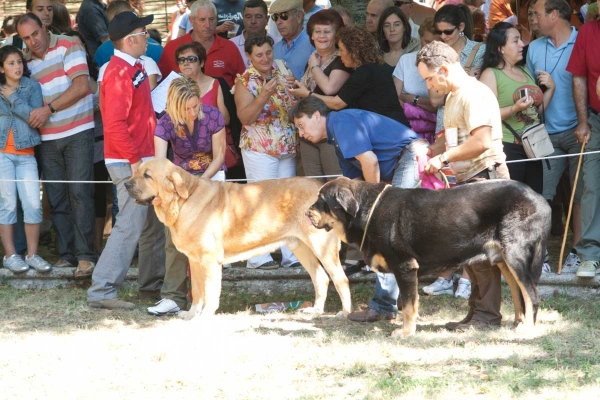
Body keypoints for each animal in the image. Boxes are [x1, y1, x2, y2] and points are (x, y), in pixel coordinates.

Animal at [126, 158, 352, 320]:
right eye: (137, 172)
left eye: (147, 175)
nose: (127, 184)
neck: (182, 201)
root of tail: (321, 190)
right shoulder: (195, 261)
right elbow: (197, 292)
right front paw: (191, 315)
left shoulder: (209, 260)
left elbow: (210, 292)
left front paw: (205, 316)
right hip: (301, 248)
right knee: (321, 278)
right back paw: (315, 311)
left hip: (322, 247)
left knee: (340, 279)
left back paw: (345, 313)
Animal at [310, 177, 552, 336]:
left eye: (322, 200)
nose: (306, 213)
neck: (367, 210)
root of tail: (541, 200)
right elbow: (410, 304)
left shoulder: (405, 266)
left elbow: (408, 306)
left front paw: (406, 333)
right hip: (504, 260)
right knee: (519, 294)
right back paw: (518, 324)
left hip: (515, 255)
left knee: (532, 294)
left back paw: (527, 329)